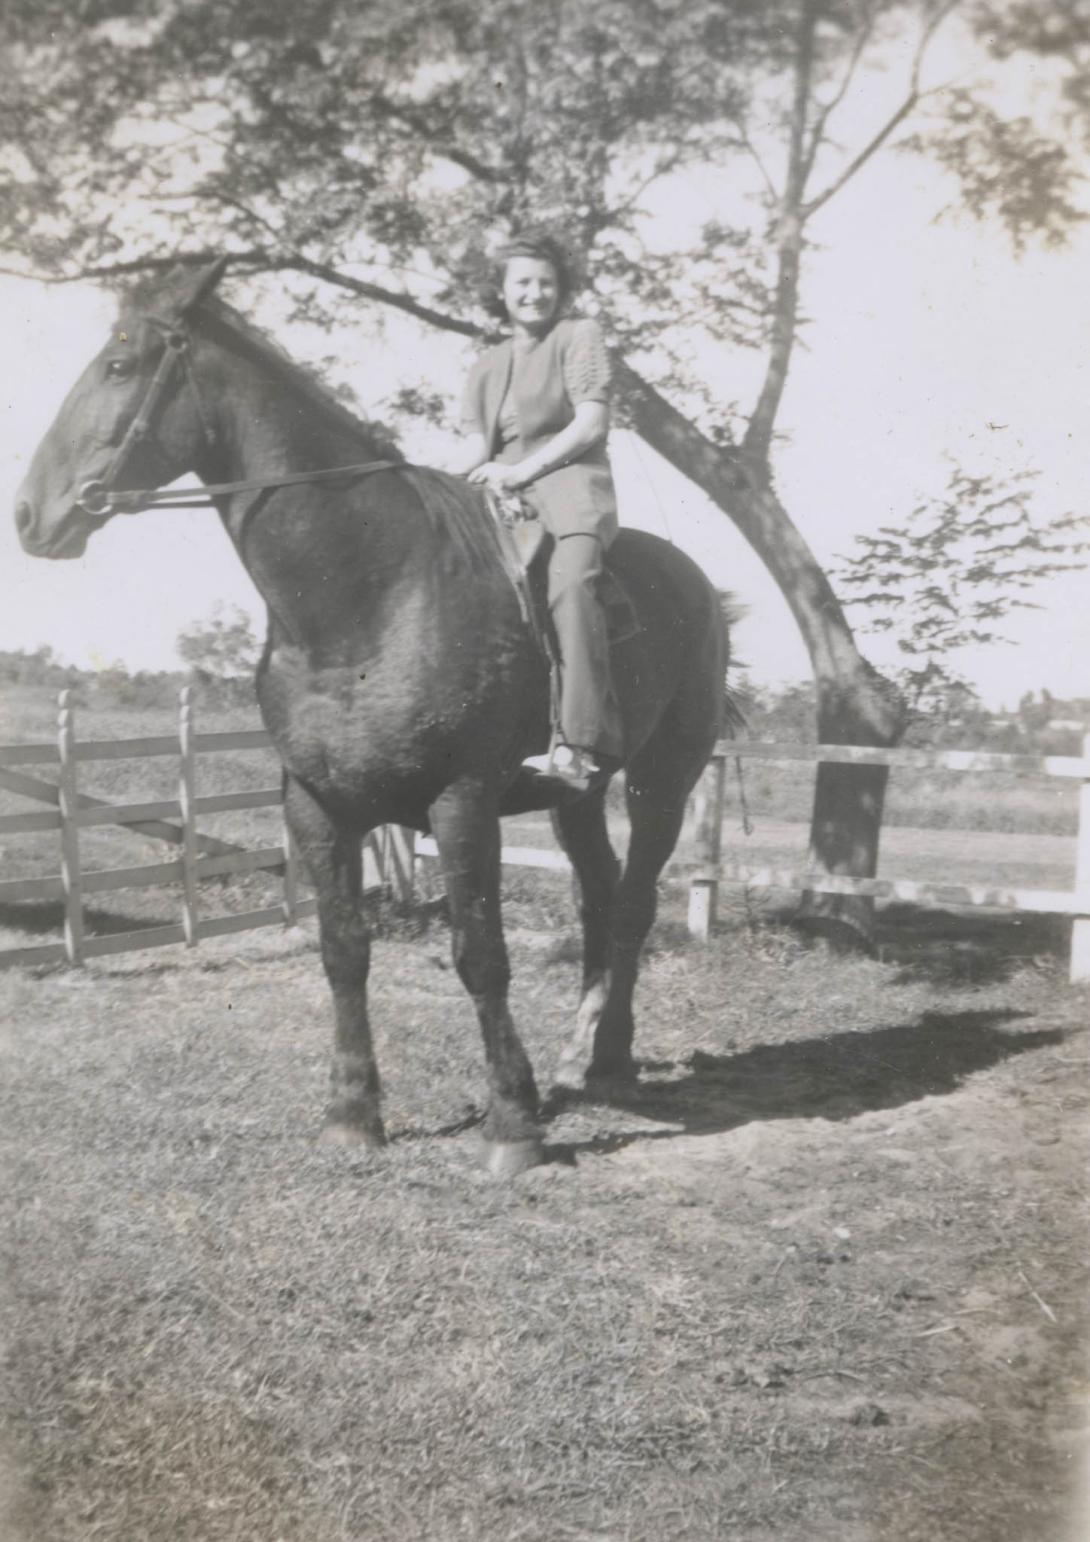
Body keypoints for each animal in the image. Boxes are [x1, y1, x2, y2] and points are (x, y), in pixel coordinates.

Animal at [14, 259, 730, 1176]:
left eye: (118, 366)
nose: (31, 515)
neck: (371, 592)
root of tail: (699, 584)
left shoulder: (461, 803)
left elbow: (479, 955)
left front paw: (511, 1124)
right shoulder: (315, 806)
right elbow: (343, 950)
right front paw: (353, 1113)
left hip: (662, 780)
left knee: (635, 905)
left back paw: (606, 1062)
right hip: (580, 794)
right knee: (600, 900)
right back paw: (581, 1057)